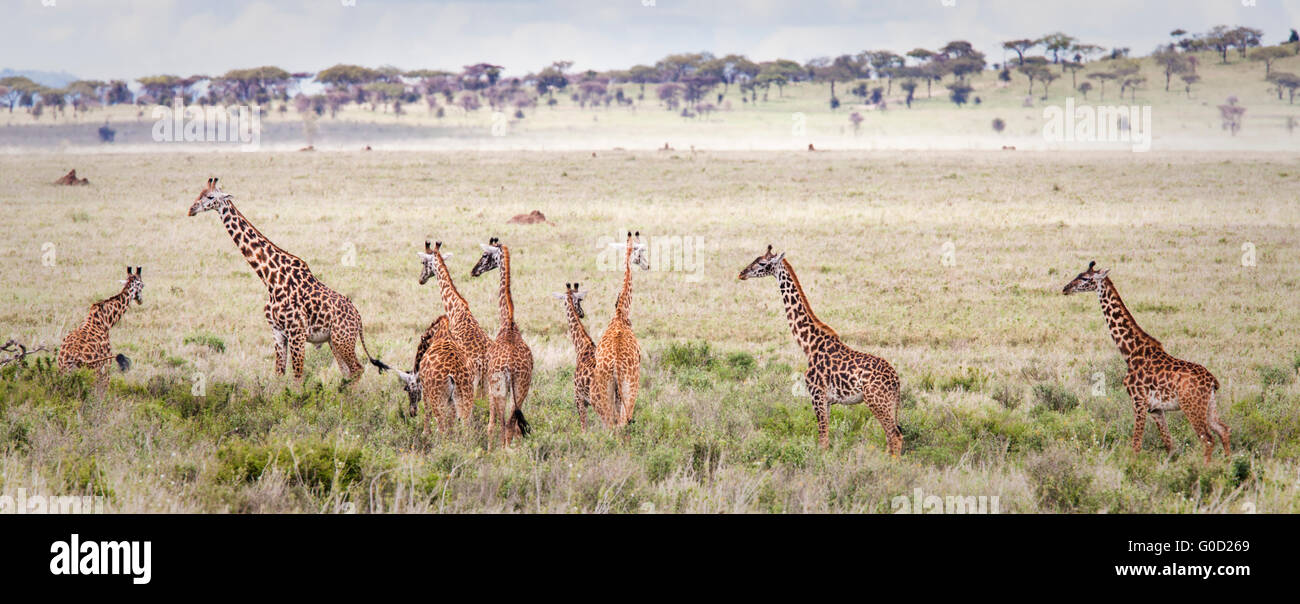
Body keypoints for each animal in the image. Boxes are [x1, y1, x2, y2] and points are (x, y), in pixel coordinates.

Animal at [187, 178, 388, 383]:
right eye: (199, 193)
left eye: (211, 197)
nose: (191, 209)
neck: (270, 279)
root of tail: (358, 318)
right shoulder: (278, 333)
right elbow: (279, 375)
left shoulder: (296, 333)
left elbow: (297, 378)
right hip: (334, 341)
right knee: (348, 372)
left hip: (342, 339)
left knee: (357, 369)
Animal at [471, 237, 533, 446]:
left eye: (484, 255)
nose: (474, 271)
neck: (508, 323)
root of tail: (512, 367)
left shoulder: (491, 384)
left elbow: (492, 425)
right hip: (521, 387)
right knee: (514, 423)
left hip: (500, 387)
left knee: (504, 423)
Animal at [590, 232, 650, 429]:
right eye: (642, 251)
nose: (648, 265)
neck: (621, 314)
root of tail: (615, 365)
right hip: (631, 384)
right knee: (624, 420)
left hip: (605, 386)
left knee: (611, 423)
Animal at [738, 246, 903, 455]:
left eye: (762, 263)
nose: (741, 273)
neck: (808, 345)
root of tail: (896, 380)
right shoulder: (827, 401)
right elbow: (826, 438)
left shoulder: (817, 395)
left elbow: (823, 441)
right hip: (889, 404)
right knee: (893, 437)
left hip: (876, 401)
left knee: (895, 436)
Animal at [1062, 261, 1229, 463]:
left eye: (1085, 278)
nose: (1065, 288)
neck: (1130, 352)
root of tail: (1213, 381)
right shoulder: (1155, 409)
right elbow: (1169, 445)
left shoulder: (1139, 402)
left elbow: (1136, 445)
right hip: (1209, 405)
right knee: (1223, 430)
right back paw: (1230, 465)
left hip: (1192, 407)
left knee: (1208, 439)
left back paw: (1207, 469)